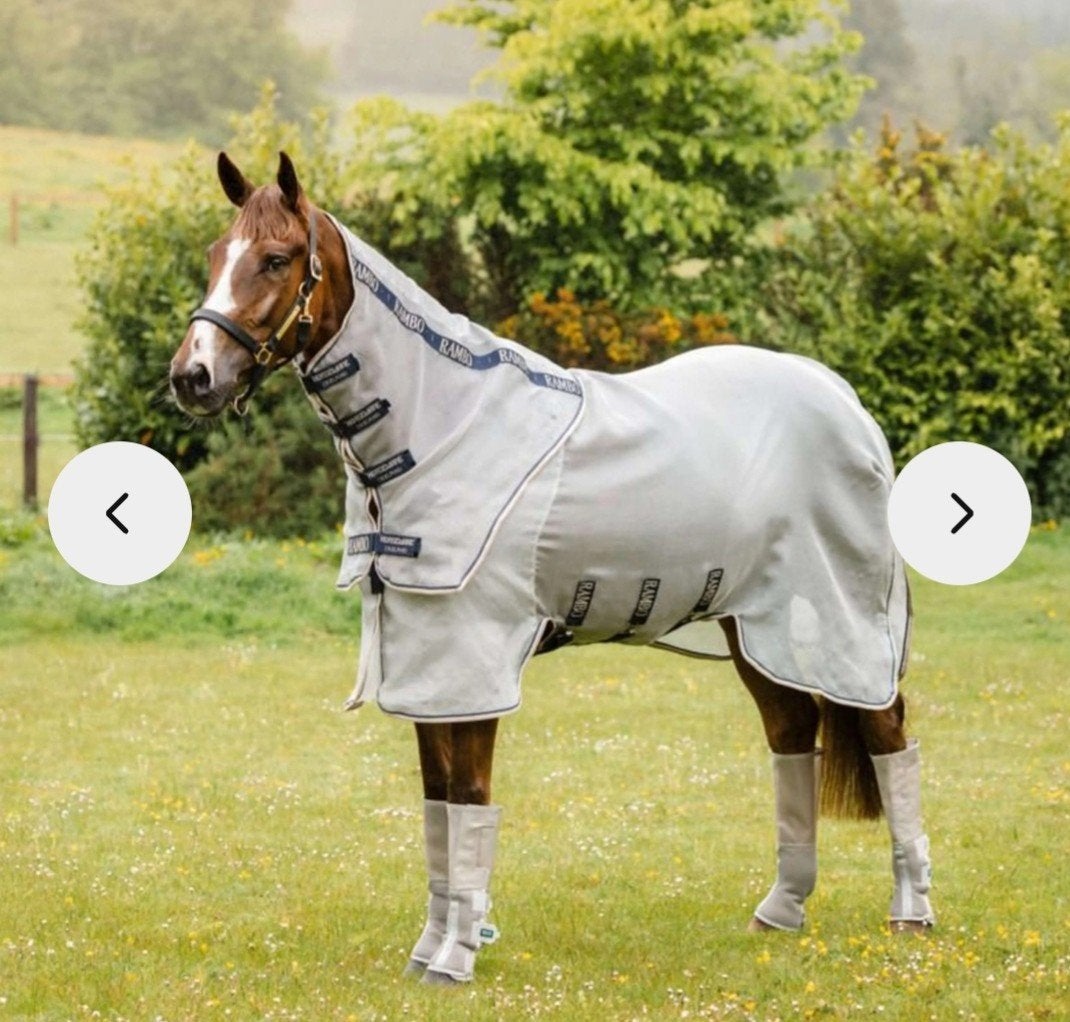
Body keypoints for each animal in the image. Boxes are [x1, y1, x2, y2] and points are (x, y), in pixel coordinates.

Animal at [169, 152, 935, 986]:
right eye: (215, 255)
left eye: (276, 259)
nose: (193, 376)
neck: (442, 426)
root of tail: (842, 399)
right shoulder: (426, 661)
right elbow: (438, 805)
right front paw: (430, 949)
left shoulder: (471, 658)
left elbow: (469, 797)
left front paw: (455, 958)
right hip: (756, 628)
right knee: (794, 735)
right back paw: (782, 910)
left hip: (842, 619)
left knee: (889, 736)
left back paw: (911, 913)